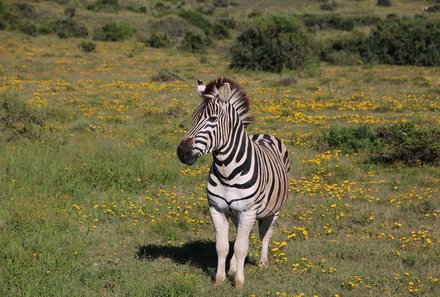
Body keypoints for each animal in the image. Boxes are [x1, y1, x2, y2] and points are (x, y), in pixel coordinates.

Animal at [177, 76, 290, 286]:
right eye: (193, 117)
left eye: (212, 119)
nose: (182, 152)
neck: (226, 172)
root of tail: (265, 134)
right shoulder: (217, 209)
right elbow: (223, 246)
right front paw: (220, 279)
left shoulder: (248, 211)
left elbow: (240, 248)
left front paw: (238, 283)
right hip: (237, 213)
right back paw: (232, 267)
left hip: (274, 210)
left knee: (266, 234)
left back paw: (263, 262)